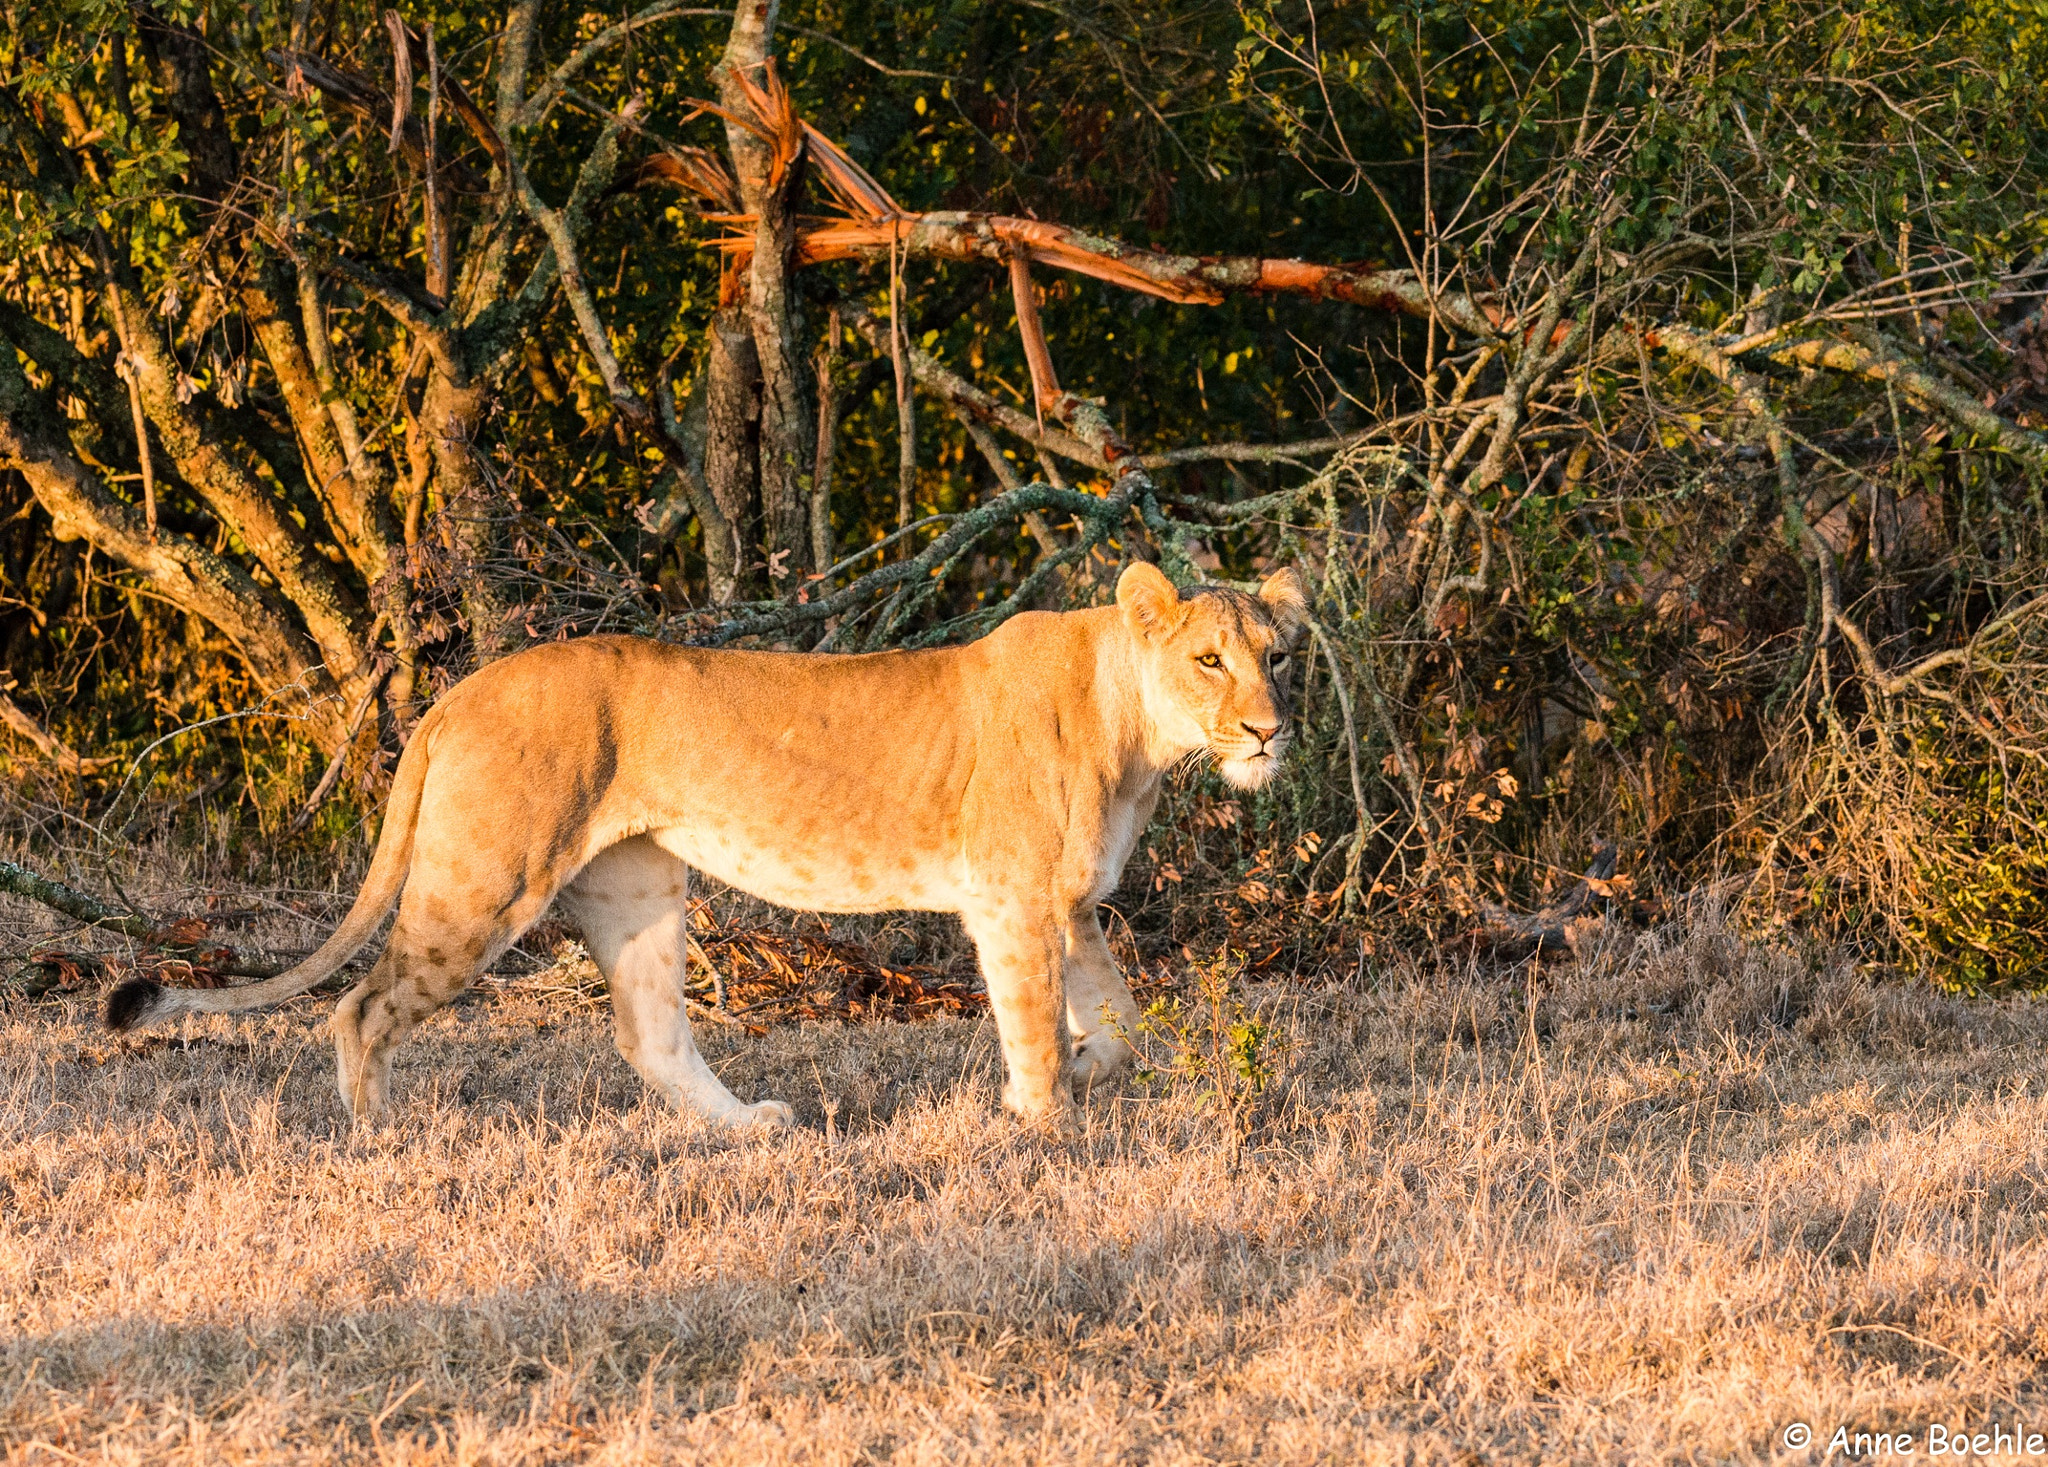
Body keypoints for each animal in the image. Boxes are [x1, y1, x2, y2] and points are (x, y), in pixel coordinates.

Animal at [106, 562, 1308, 1131]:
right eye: (1208, 660)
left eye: (1280, 657)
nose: (1267, 730)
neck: (1138, 740)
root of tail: (457, 695)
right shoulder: (1011, 900)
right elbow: (1035, 1029)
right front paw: (1038, 1127)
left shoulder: (1072, 901)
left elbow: (1119, 1023)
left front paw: (1095, 1077)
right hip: (485, 881)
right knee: (361, 1006)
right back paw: (380, 1141)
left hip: (635, 889)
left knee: (651, 1038)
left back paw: (753, 1130)